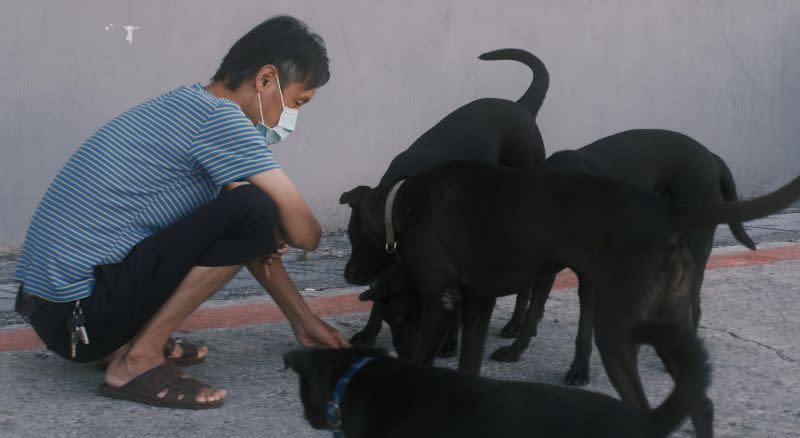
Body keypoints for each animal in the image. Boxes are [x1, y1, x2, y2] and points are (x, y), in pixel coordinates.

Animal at [338, 159, 800, 436]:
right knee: (700, 403)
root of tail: (668, 214)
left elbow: (424, 357)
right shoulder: (478, 305)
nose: (348, 274)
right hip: (671, 326)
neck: (400, 204)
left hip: (616, 331)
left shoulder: (440, 299)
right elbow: (469, 367)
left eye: (352, 235)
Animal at [348, 48, 552, 350]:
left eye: (357, 240)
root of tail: (523, 107)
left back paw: (516, 324)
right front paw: (368, 332)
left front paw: (449, 340)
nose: (348, 275)